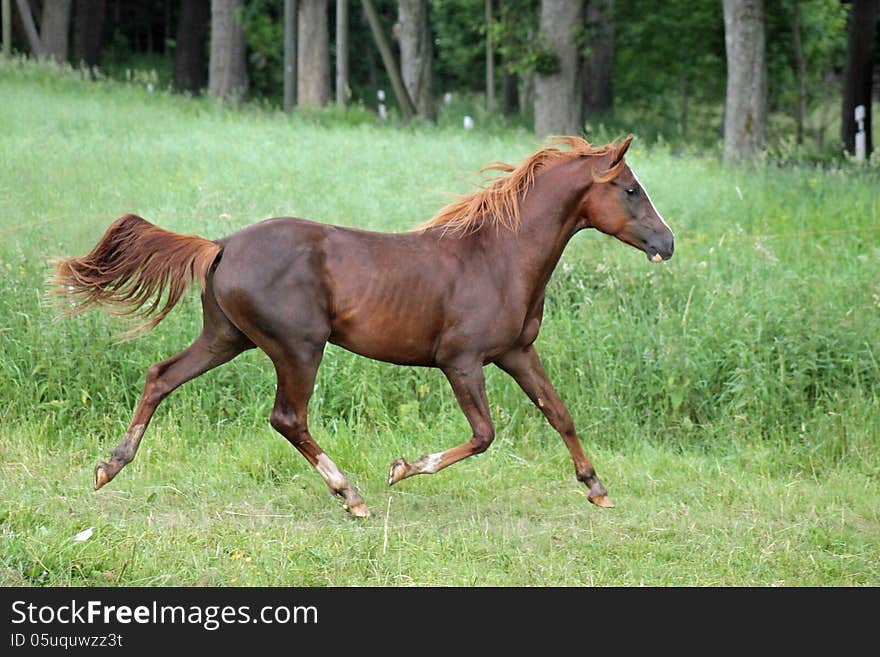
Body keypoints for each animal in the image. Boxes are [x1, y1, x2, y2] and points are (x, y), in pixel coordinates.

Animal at [51, 136, 672, 516]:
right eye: (630, 189)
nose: (666, 243)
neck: (498, 255)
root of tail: (221, 244)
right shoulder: (462, 361)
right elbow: (484, 434)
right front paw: (401, 469)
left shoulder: (517, 352)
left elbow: (558, 412)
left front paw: (596, 489)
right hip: (298, 347)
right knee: (287, 418)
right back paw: (350, 495)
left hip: (226, 338)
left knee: (161, 375)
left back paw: (109, 467)